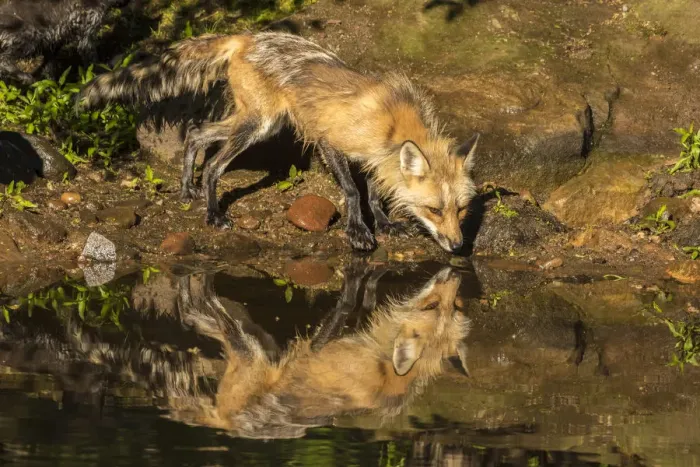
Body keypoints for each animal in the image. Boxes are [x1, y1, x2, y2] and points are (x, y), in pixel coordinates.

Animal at [0, 0, 131, 86]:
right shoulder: (85, 38)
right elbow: (93, 62)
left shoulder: (53, 43)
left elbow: (48, 68)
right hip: (30, 39)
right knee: (4, 60)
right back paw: (25, 77)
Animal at [76, 31, 481, 253]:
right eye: (434, 210)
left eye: (460, 210)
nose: (458, 246)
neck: (391, 122)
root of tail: (247, 36)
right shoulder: (328, 141)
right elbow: (353, 192)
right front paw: (358, 232)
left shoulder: (374, 157)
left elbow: (375, 193)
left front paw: (383, 223)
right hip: (258, 125)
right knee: (214, 164)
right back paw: (213, 213)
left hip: (260, 124)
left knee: (196, 132)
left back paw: (187, 187)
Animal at [164, 263, 472, 439]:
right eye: (454, 305)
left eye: (436, 305)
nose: (456, 272)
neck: (382, 361)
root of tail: (229, 425)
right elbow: (355, 305)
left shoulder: (317, 349)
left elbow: (337, 314)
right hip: (261, 342)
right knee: (196, 315)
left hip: (252, 351)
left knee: (205, 309)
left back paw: (195, 278)